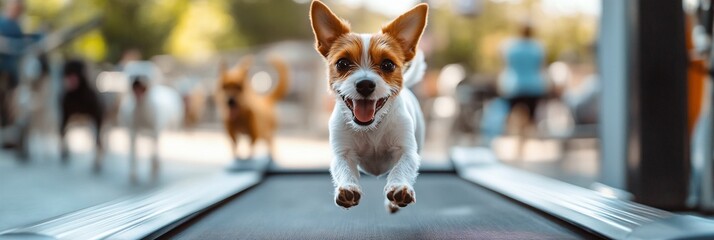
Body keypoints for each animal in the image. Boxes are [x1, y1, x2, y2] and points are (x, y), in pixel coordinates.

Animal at [308, 0, 426, 213]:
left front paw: (399, 187)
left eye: (388, 65)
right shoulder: (343, 154)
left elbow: (402, 167)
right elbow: (344, 169)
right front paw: (347, 187)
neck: (372, 128)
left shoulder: (407, 151)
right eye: (342, 63)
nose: (365, 84)